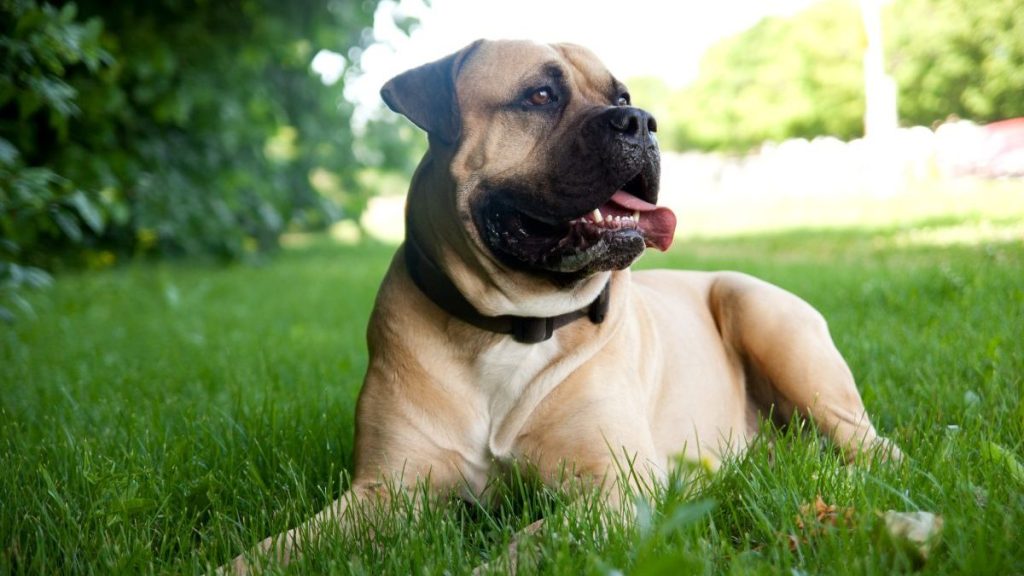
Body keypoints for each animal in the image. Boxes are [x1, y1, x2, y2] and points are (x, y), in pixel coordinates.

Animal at [228, 39, 901, 569]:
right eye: (540, 95)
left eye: (622, 92)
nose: (640, 120)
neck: (512, 323)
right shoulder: (385, 491)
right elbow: (275, 549)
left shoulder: (614, 488)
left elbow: (526, 547)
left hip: (761, 312)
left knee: (872, 446)